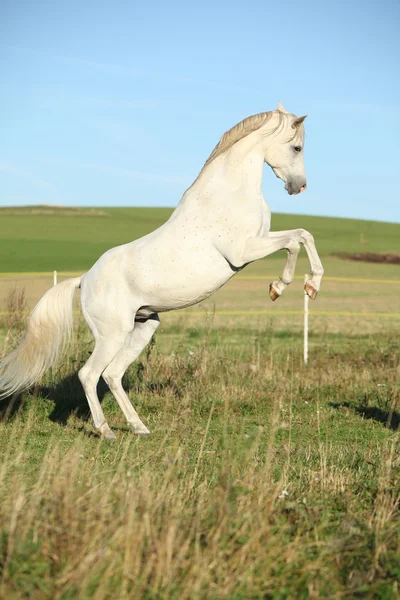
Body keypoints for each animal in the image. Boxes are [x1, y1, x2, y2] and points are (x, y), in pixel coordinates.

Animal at [0, 102, 324, 440]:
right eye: (297, 147)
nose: (299, 186)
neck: (227, 194)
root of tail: (84, 280)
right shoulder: (243, 251)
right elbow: (294, 242)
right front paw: (280, 287)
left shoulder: (260, 240)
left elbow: (304, 235)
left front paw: (311, 286)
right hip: (111, 335)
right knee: (89, 374)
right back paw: (106, 431)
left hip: (143, 327)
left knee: (113, 374)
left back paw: (139, 427)